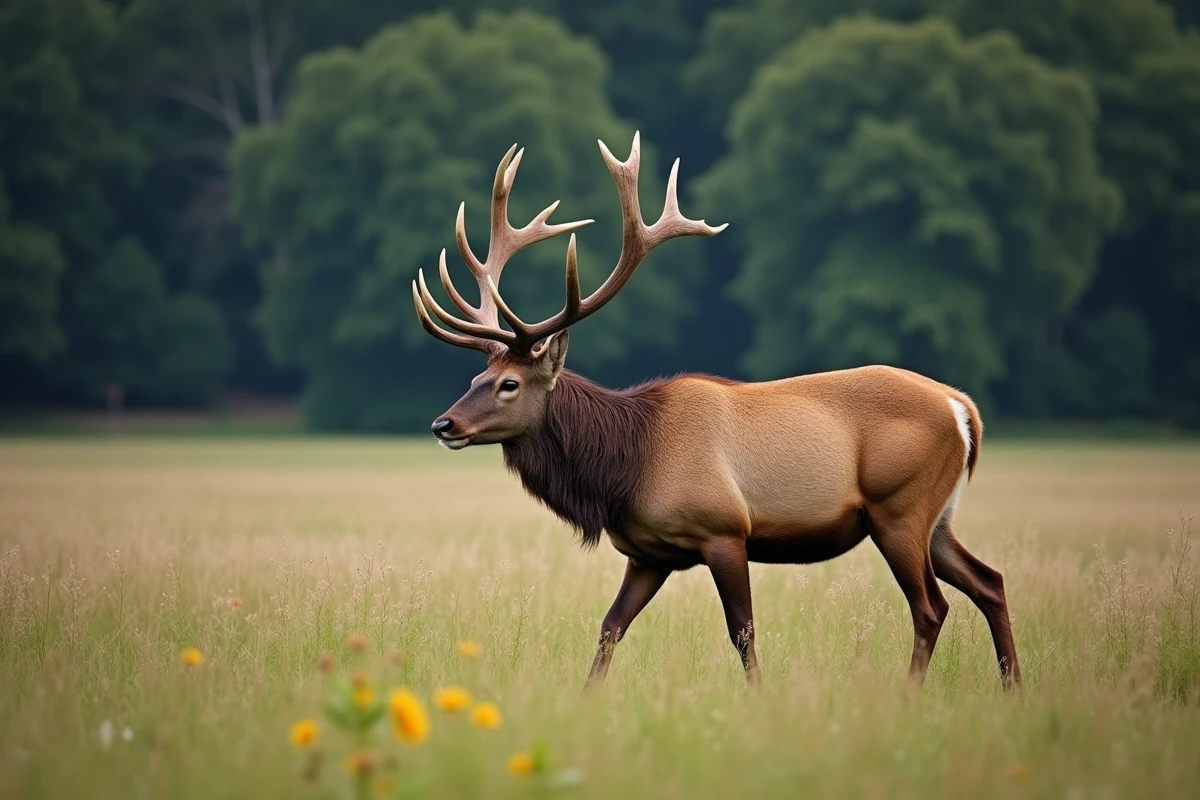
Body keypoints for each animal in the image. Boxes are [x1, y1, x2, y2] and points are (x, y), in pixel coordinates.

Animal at [412, 133, 1021, 689]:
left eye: (509, 384)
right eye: (475, 378)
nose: (443, 424)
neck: (625, 468)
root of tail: (962, 409)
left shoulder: (725, 529)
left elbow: (742, 631)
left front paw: (759, 698)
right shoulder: (648, 553)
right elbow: (609, 628)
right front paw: (587, 698)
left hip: (899, 507)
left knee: (931, 607)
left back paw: (912, 694)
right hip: (937, 515)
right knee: (990, 581)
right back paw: (1013, 685)